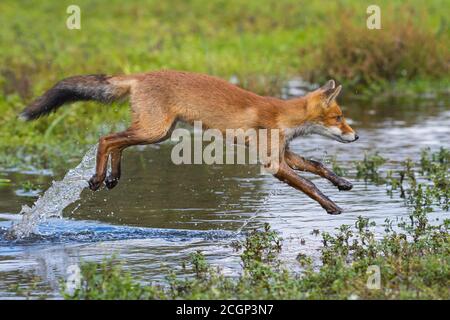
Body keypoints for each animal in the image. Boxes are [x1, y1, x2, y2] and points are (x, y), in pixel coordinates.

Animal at [20, 70, 358, 215]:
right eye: (339, 117)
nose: (356, 136)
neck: (282, 116)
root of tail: (140, 75)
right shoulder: (272, 162)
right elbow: (309, 184)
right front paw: (331, 205)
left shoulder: (284, 154)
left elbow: (318, 165)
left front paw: (341, 183)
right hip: (154, 131)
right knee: (106, 139)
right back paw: (99, 176)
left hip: (159, 132)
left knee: (116, 142)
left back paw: (112, 176)